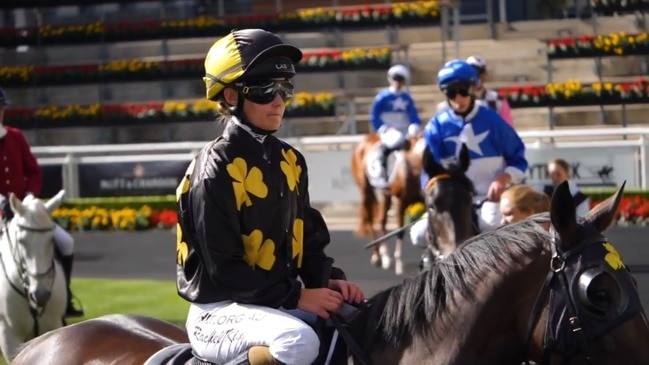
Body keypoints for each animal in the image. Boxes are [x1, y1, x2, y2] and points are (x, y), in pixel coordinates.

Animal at [350, 133, 426, 272]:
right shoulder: (401, 202)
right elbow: (400, 231)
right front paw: (399, 264)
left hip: (386, 195)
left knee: (382, 221)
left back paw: (383, 256)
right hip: (366, 190)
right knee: (371, 220)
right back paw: (378, 256)